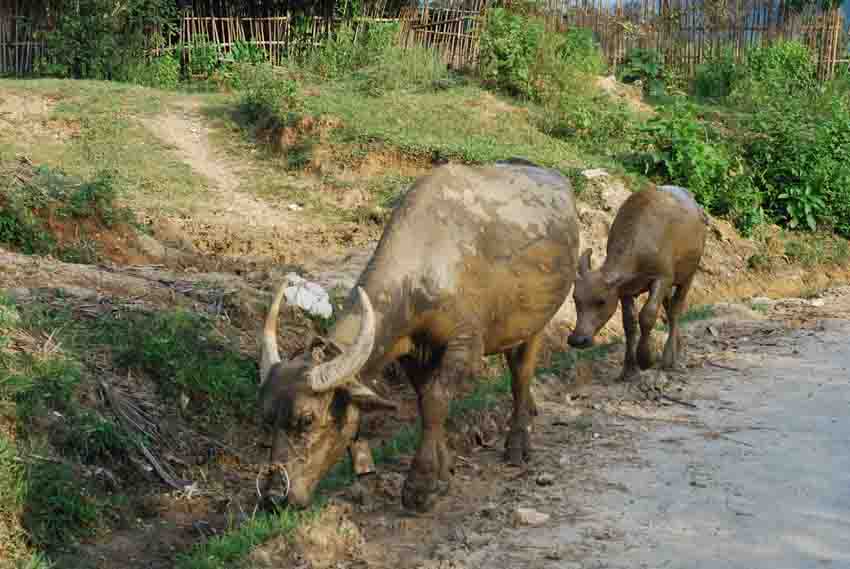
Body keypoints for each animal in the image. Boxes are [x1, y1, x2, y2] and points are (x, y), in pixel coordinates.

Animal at [568, 186, 704, 382]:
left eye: (601, 301)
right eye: (575, 299)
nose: (578, 340)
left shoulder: (662, 278)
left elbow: (647, 315)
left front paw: (645, 358)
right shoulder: (624, 291)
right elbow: (629, 324)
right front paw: (628, 369)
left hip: (688, 276)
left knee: (676, 309)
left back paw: (668, 358)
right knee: (669, 308)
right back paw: (677, 346)